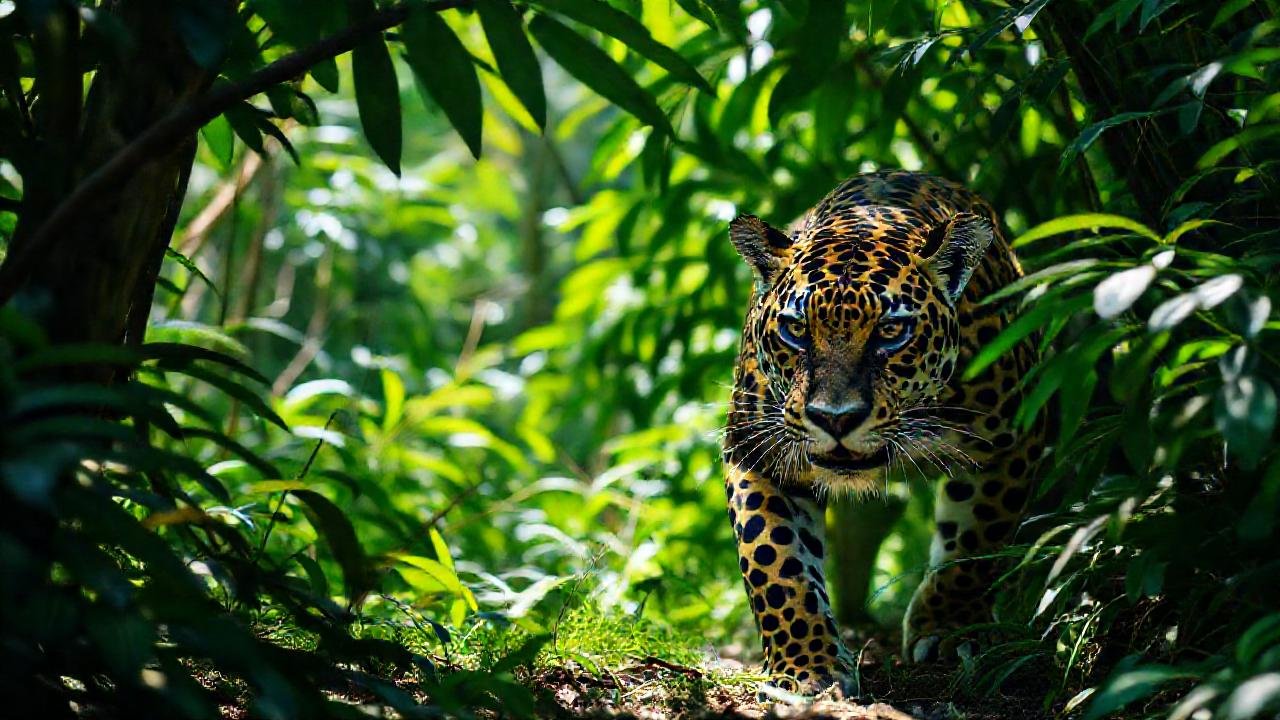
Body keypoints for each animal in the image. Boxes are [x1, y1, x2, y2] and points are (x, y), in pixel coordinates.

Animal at [722, 170, 1046, 697]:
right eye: (795, 329)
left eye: (892, 331)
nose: (834, 418)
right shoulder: (757, 450)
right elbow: (775, 562)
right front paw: (807, 665)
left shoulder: (1011, 439)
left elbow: (975, 542)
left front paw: (949, 627)